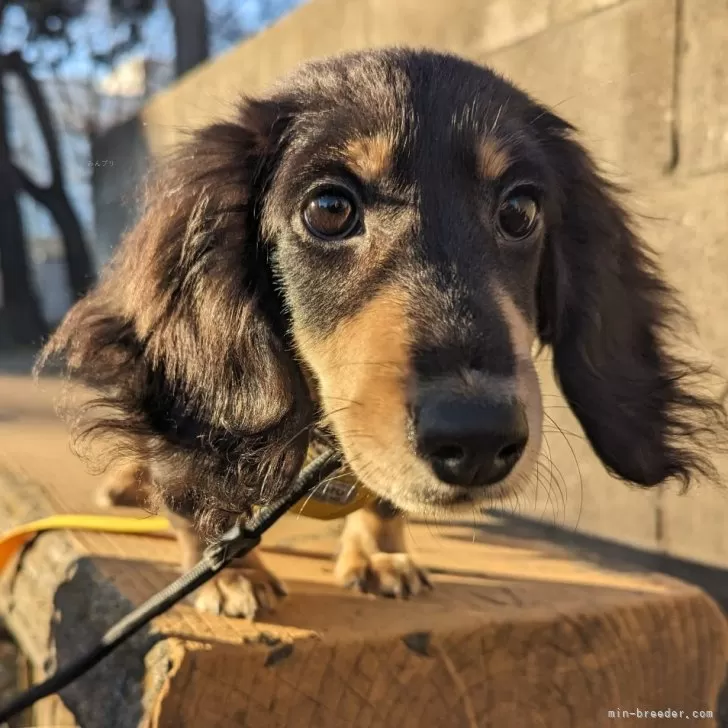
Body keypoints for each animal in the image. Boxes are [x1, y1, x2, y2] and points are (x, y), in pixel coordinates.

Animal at [38, 49, 724, 620]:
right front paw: (229, 574)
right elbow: (191, 492)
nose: (478, 441)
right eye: (329, 208)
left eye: (520, 210)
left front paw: (379, 550)